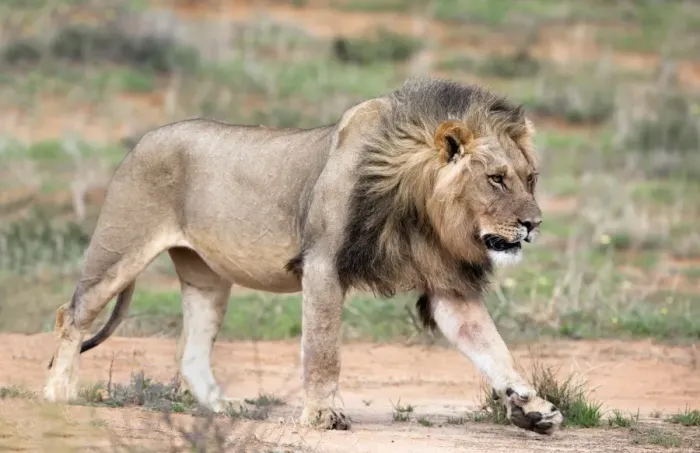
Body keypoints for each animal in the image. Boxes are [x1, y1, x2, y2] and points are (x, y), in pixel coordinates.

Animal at [44, 77, 563, 435]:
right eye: (496, 179)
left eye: (530, 178)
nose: (534, 224)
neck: (422, 213)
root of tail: (143, 139)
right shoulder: (322, 264)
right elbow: (323, 349)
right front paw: (323, 414)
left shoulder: (448, 286)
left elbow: (492, 346)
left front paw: (531, 405)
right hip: (120, 248)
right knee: (72, 314)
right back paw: (57, 393)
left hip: (206, 277)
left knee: (190, 350)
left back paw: (220, 408)